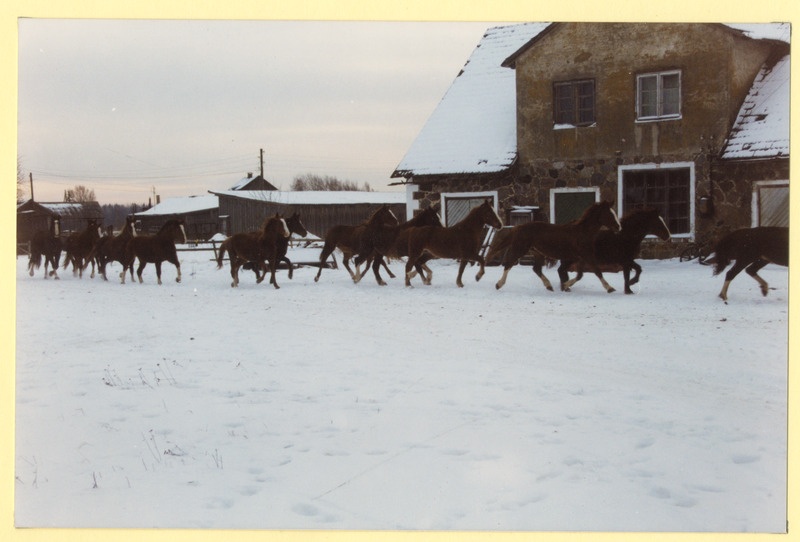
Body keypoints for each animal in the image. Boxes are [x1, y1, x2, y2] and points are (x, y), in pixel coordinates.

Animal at [488, 201, 624, 294]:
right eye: (609, 214)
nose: (619, 227)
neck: (582, 233)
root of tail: (518, 227)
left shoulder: (580, 258)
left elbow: (580, 275)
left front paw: (565, 286)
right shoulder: (584, 257)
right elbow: (596, 271)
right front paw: (610, 288)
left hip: (538, 253)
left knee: (536, 269)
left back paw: (549, 286)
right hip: (520, 249)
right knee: (508, 264)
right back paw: (499, 284)